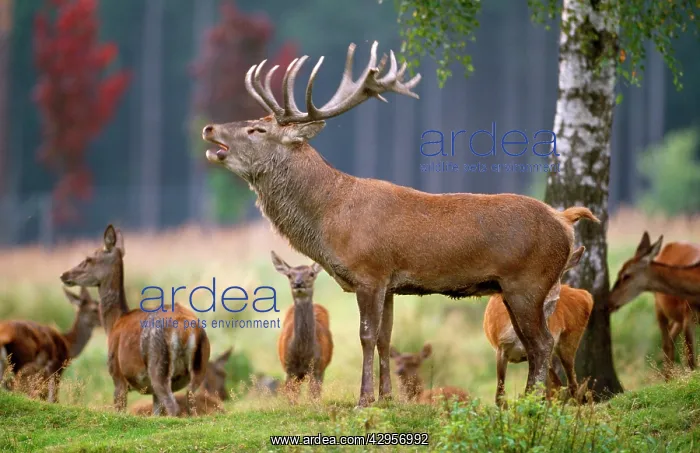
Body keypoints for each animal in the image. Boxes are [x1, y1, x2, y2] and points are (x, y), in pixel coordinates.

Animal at [59, 224, 211, 416]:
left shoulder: (117, 376)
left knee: (173, 406)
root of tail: (186, 330)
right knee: (192, 403)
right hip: (200, 366)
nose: (64, 275)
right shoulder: (151, 391)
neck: (115, 322)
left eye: (88, 258)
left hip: (158, 365)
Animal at [272, 251, 333, 402]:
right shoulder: (288, 368)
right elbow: (291, 398)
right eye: (289, 275)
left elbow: (313, 397)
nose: (298, 283)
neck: (302, 353)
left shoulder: (317, 367)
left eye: (311, 273)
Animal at [483, 246, 592, 407]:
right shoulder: (501, 348)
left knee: (571, 383)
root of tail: (586, 295)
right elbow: (500, 396)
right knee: (560, 384)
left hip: (570, 341)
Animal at [609, 232, 700, 379]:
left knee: (670, 338)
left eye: (626, 275)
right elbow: (691, 360)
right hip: (659, 306)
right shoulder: (688, 314)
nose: (608, 301)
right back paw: (668, 378)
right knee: (667, 342)